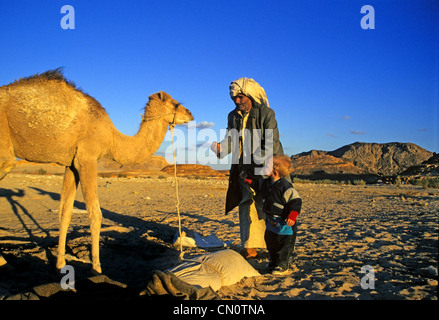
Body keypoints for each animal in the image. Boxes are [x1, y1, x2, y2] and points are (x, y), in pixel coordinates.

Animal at [0, 69, 194, 274]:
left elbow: (65, 212)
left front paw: (60, 264)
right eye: (175, 103)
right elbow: (95, 214)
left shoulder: (71, 164)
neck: (113, 139)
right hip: (4, 144)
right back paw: (4, 263)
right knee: (7, 162)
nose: (190, 114)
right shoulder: (87, 158)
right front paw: (97, 268)